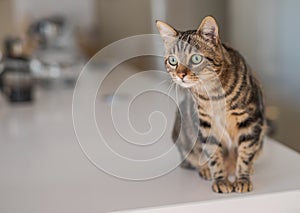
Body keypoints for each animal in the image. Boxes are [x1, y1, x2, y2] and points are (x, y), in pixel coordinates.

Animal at [156, 16, 266, 193]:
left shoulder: (251, 120)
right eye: (173, 61)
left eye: (196, 58)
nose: (181, 75)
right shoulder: (206, 125)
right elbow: (214, 155)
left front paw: (242, 179)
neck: (214, 94)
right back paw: (205, 169)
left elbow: (245, 154)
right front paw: (221, 180)